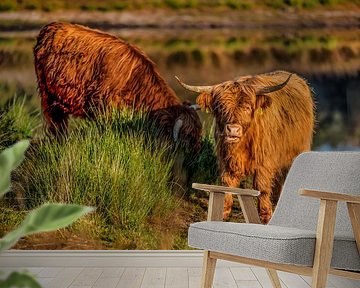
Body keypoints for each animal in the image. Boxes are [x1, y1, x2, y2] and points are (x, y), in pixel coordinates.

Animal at [34, 21, 202, 152]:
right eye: (189, 138)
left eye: (199, 135)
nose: (197, 155)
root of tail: (51, 26)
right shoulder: (103, 109)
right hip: (48, 94)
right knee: (56, 122)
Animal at [178, 71, 316, 224]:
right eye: (220, 107)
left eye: (248, 107)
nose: (233, 130)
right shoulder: (226, 159)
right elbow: (227, 183)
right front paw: (224, 212)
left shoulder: (264, 161)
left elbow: (261, 187)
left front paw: (265, 216)